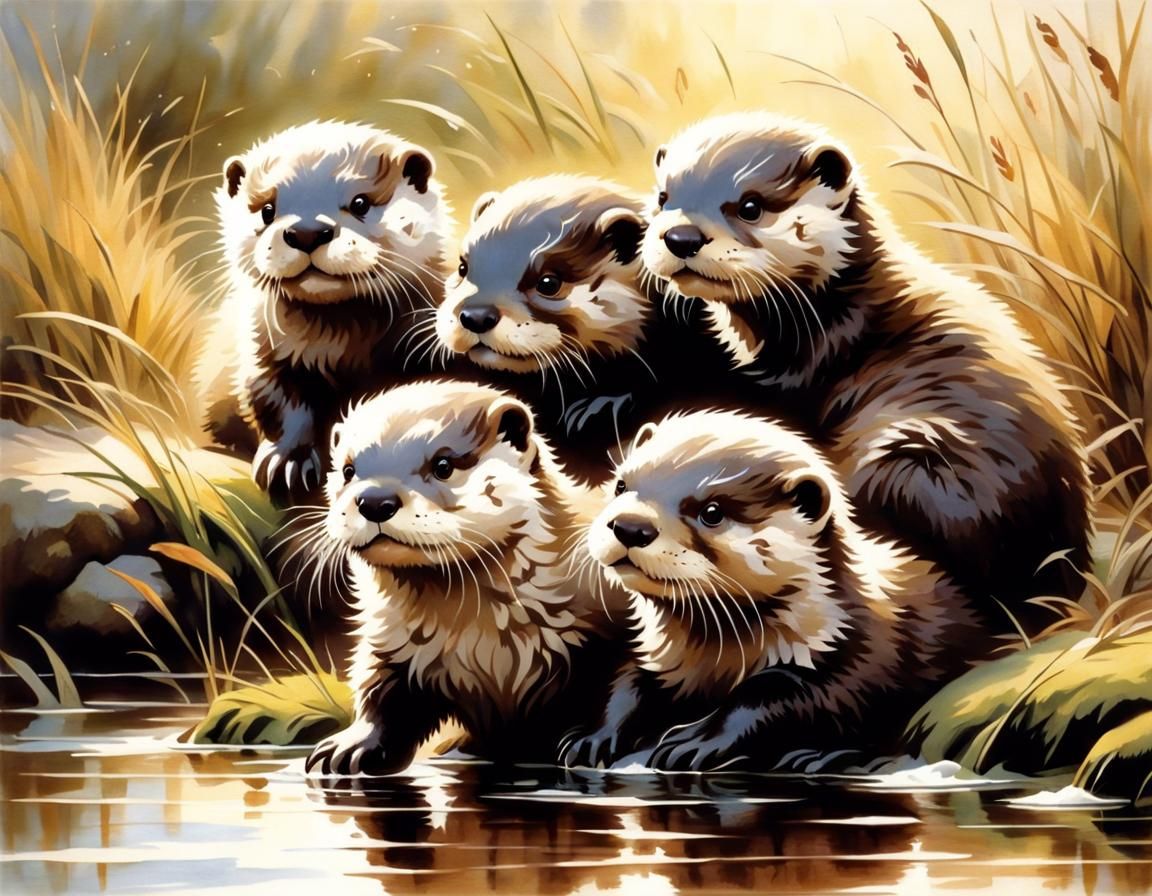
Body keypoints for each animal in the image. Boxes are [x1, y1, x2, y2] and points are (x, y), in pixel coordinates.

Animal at [197, 120, 452, 496]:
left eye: (360, 203)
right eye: (268, 210)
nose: (307, 232)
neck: (338, 346)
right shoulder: (263, 354)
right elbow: (278, 405)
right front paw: (287, 460)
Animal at [305, 381, 629, 775]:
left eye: (443, 465)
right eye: (348, 470)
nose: (375, 500)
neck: (486, 639)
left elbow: (625, 682)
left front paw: (594, 739)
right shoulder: (391, 642)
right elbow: (378, 690)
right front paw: (352, 744)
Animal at [561, 410, 986, 772]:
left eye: (712, 512)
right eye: (621, 485)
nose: (630, 526)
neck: (716, 660)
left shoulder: (857, 653)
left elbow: (778, 697)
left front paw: (695, 739)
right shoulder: (658, 659)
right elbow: (628, 686)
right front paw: (594, 737)